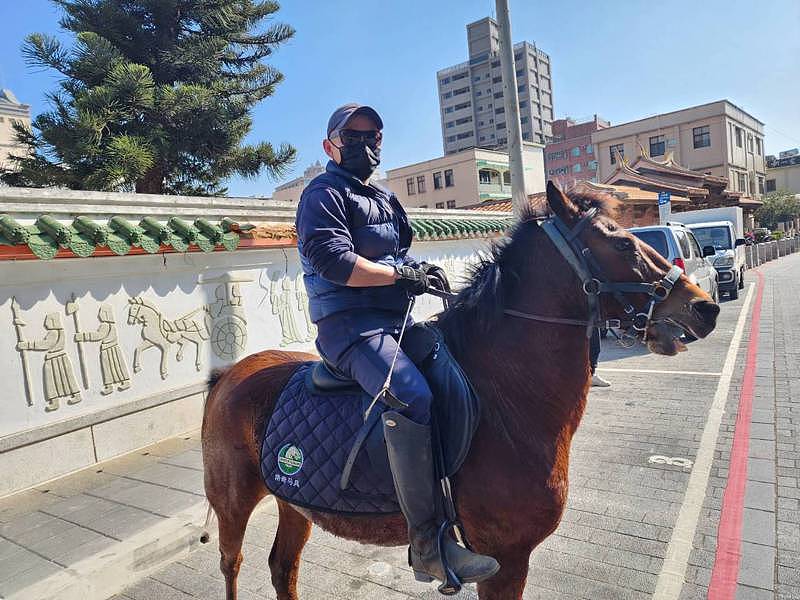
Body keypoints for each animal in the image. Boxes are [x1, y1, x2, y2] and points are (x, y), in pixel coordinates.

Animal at [200, 184, 720, 600]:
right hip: (233, 502)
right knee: (231, 564)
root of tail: (228, 373)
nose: (704, 307)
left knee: (282, 568)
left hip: (294, 501)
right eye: (622, 243)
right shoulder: (505, 559)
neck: (504, 398)